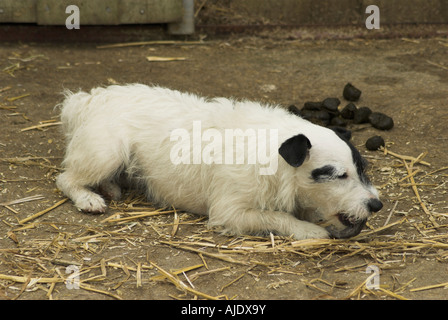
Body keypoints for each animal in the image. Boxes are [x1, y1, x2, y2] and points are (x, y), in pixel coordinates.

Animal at [56, 84, 384, 239]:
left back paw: (110, 187)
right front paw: (308, 230)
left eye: (361, 170)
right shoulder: (230, 212)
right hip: (106, 152)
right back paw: (88, 197)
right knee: (65, 179)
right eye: (338, 175)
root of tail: (87, 99)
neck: (274, 157)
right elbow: (277, 217)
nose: (376, 205)